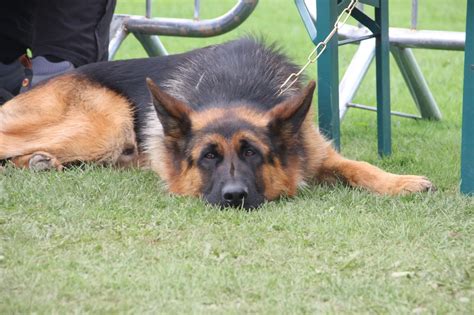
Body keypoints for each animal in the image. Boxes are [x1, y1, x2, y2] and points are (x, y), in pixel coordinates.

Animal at [0, 37, 434, 210]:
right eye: (207, 157)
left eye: (253, 154)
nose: (234, 196)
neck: (232, 89)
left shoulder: (314, 150)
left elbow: (359, 167)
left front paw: (400, 182)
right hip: (106, 123)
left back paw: (38, 162)